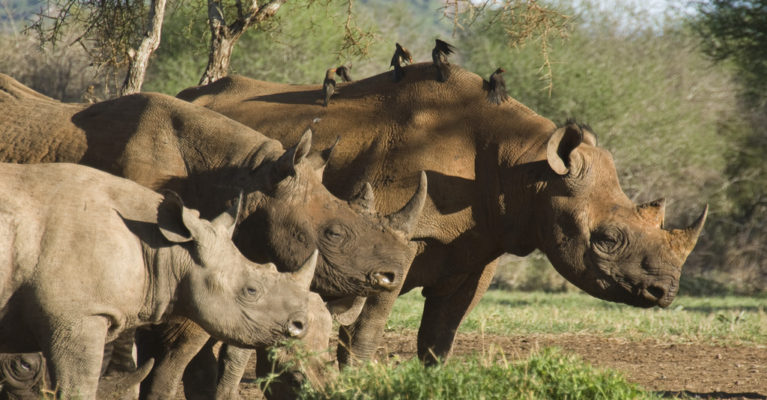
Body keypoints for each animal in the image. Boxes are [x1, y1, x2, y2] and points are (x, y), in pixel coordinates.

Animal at [177, 62, 712, 366]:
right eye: (607, 239)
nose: (666, 293)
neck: (527, 167)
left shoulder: (482, 248)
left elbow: (441, 335)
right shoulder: (389, 242)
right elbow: (367, 328)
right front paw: (360, 377)